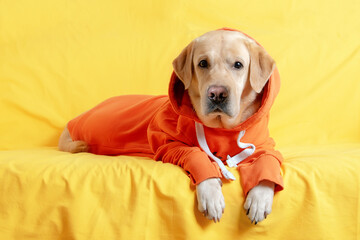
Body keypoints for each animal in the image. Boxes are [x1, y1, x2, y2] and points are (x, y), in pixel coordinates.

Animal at [59, 28, 284, 225]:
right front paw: (211, 193)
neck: (221, 128)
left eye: (238, 64)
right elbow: (197, 154)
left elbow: (268, 162)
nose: (217, 94)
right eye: (203, 63)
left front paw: (259, 199)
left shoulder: (264, 146)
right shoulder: (168, 144)